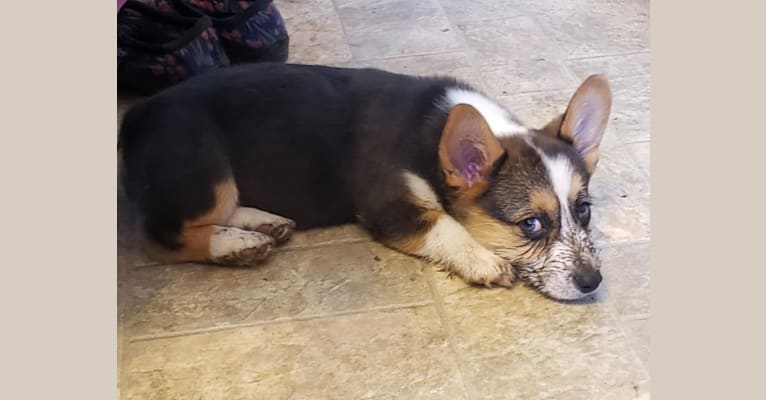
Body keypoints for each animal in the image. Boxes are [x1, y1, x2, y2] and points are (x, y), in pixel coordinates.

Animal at [118, 62, 612, 300]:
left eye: (584, 210)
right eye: (531, 224)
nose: (593, 283)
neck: (434, 139)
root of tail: (137, 115)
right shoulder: (387, 206)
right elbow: (445, 225)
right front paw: (483, 261)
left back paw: (261, 222)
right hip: (207, 171)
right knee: (160, 236)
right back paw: (233, 244)